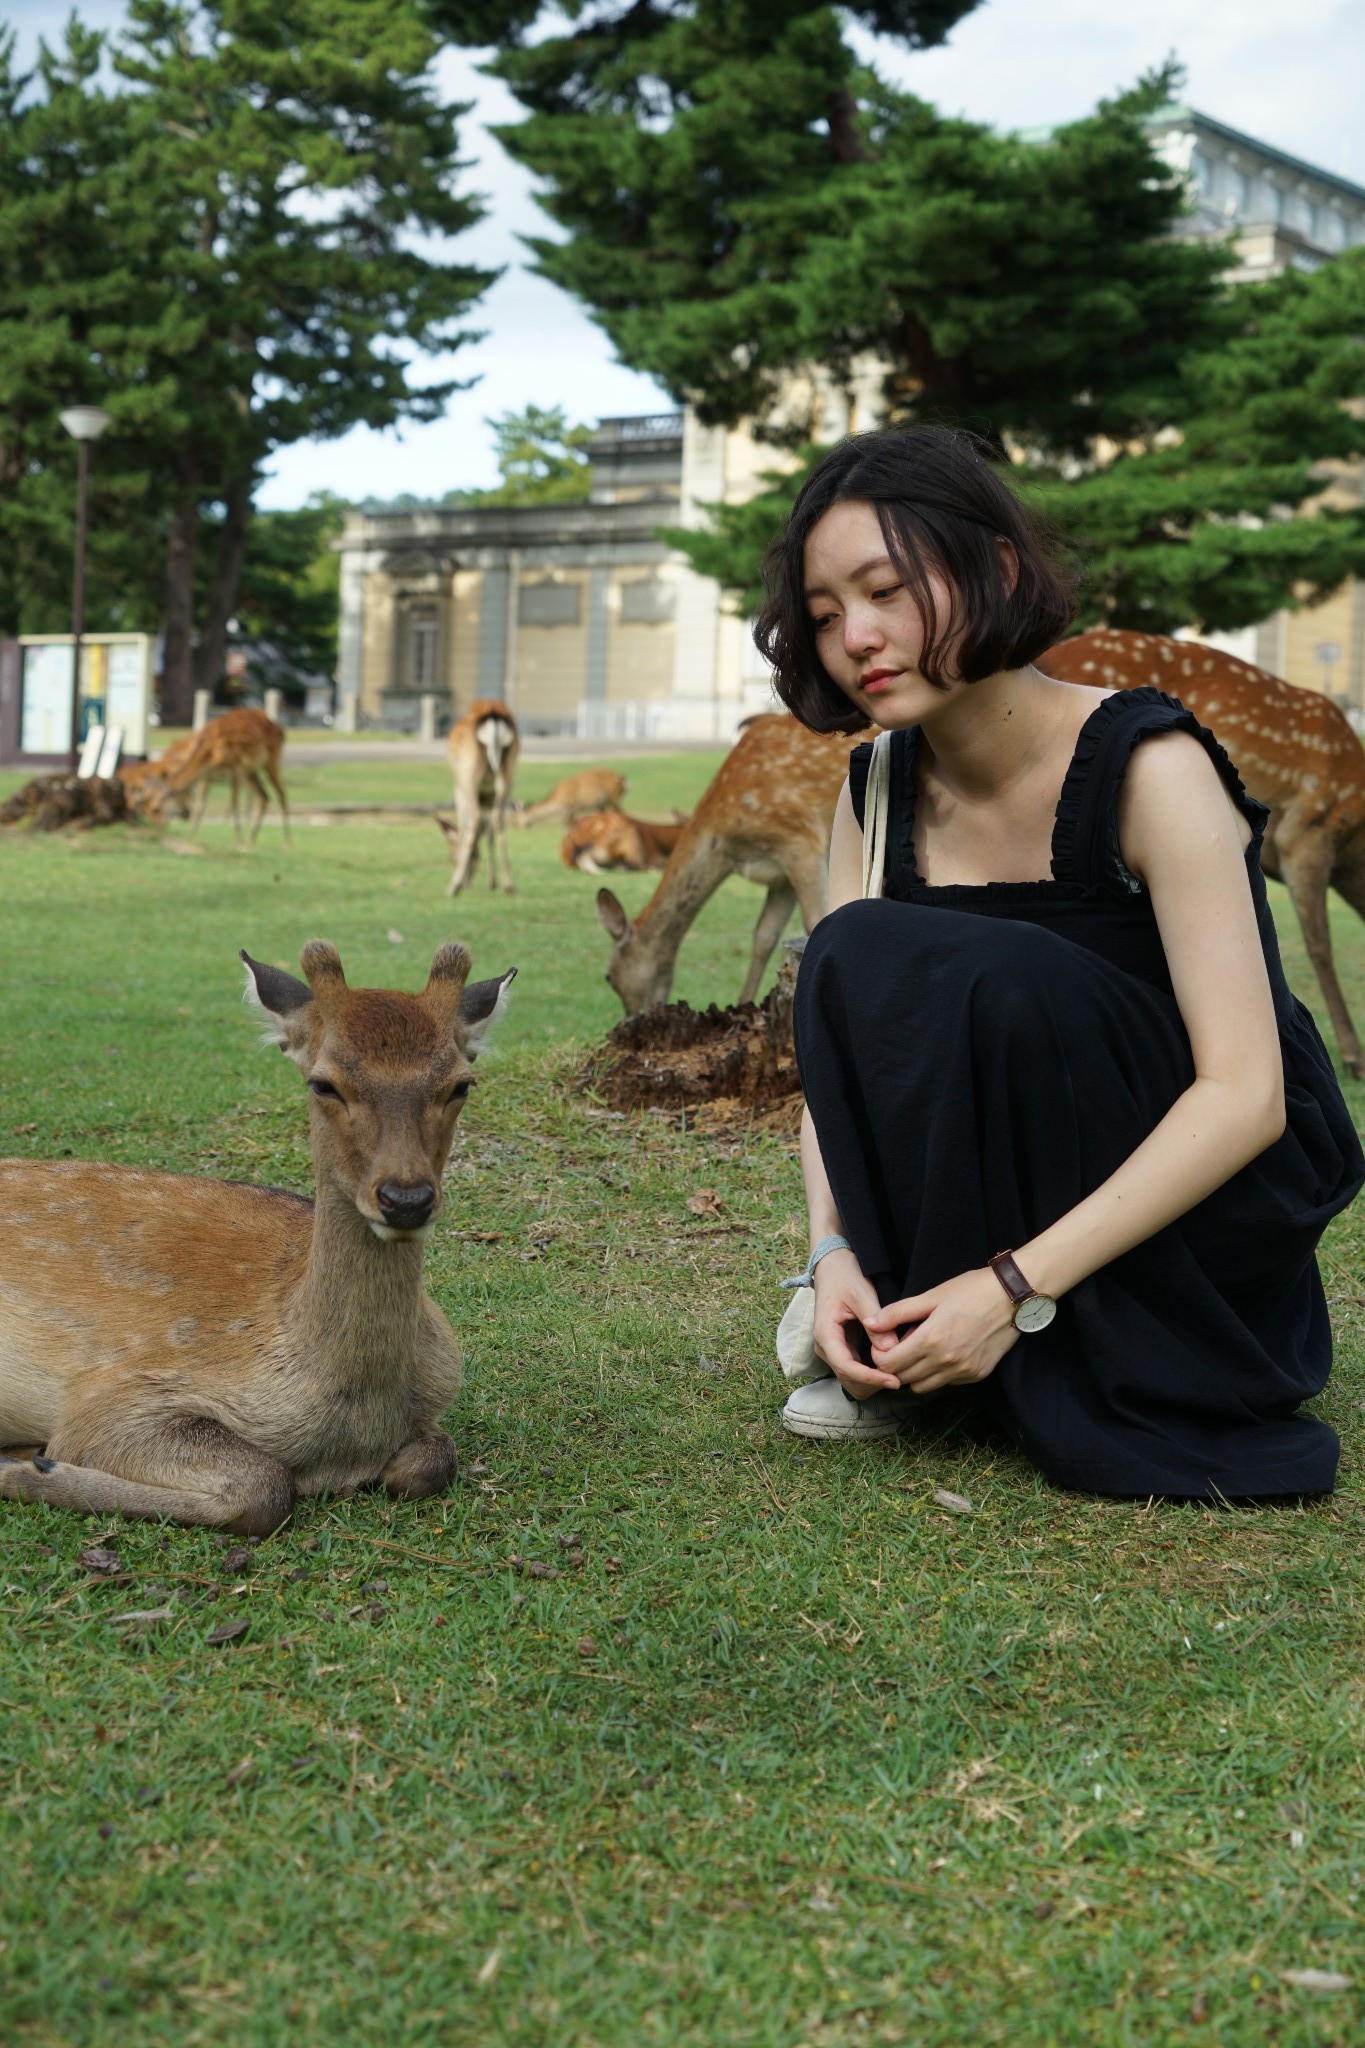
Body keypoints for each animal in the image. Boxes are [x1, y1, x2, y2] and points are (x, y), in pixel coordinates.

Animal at [0, 937, 511, 1531]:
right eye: (323, 1083)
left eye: (461, 1085)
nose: (406, 1199)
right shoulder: (112, 1396)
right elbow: (265, 1485)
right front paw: (28, 1467)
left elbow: (433, 1459)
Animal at [439, 700, 519, 892]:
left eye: (451, 858)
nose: (468, 883)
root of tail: (494, 715)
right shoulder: (488, 794)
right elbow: (489, 831)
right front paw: (492, 881)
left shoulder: (459, 787)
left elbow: (464, 825)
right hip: (508, 775)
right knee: (498, 819)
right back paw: (509, 885)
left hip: (469, 774)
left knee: (473, 819)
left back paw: (453, 887)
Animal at [593, 712, 863, 1015]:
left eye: (609, 977)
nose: (631, 1019)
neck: (725, 841)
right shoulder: (780, 873)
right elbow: (764, 935)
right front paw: (745, 1004)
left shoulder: (800, 839)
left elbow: (815, 921)